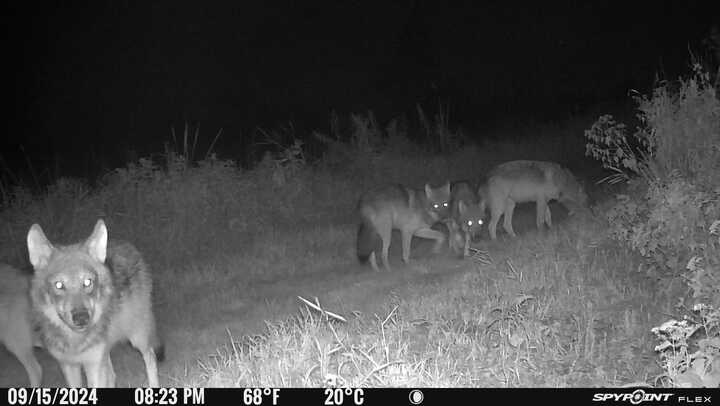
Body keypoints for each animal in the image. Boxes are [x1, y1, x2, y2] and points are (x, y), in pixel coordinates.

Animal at [26, 220, 163, 388]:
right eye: (59, 285)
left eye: (87, 282)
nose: (81, 318)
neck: (75, 341)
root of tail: (126, 244)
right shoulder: (69, 365)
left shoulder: (94, 364)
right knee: (112, 375)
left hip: (137, 337)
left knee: (150, 357)